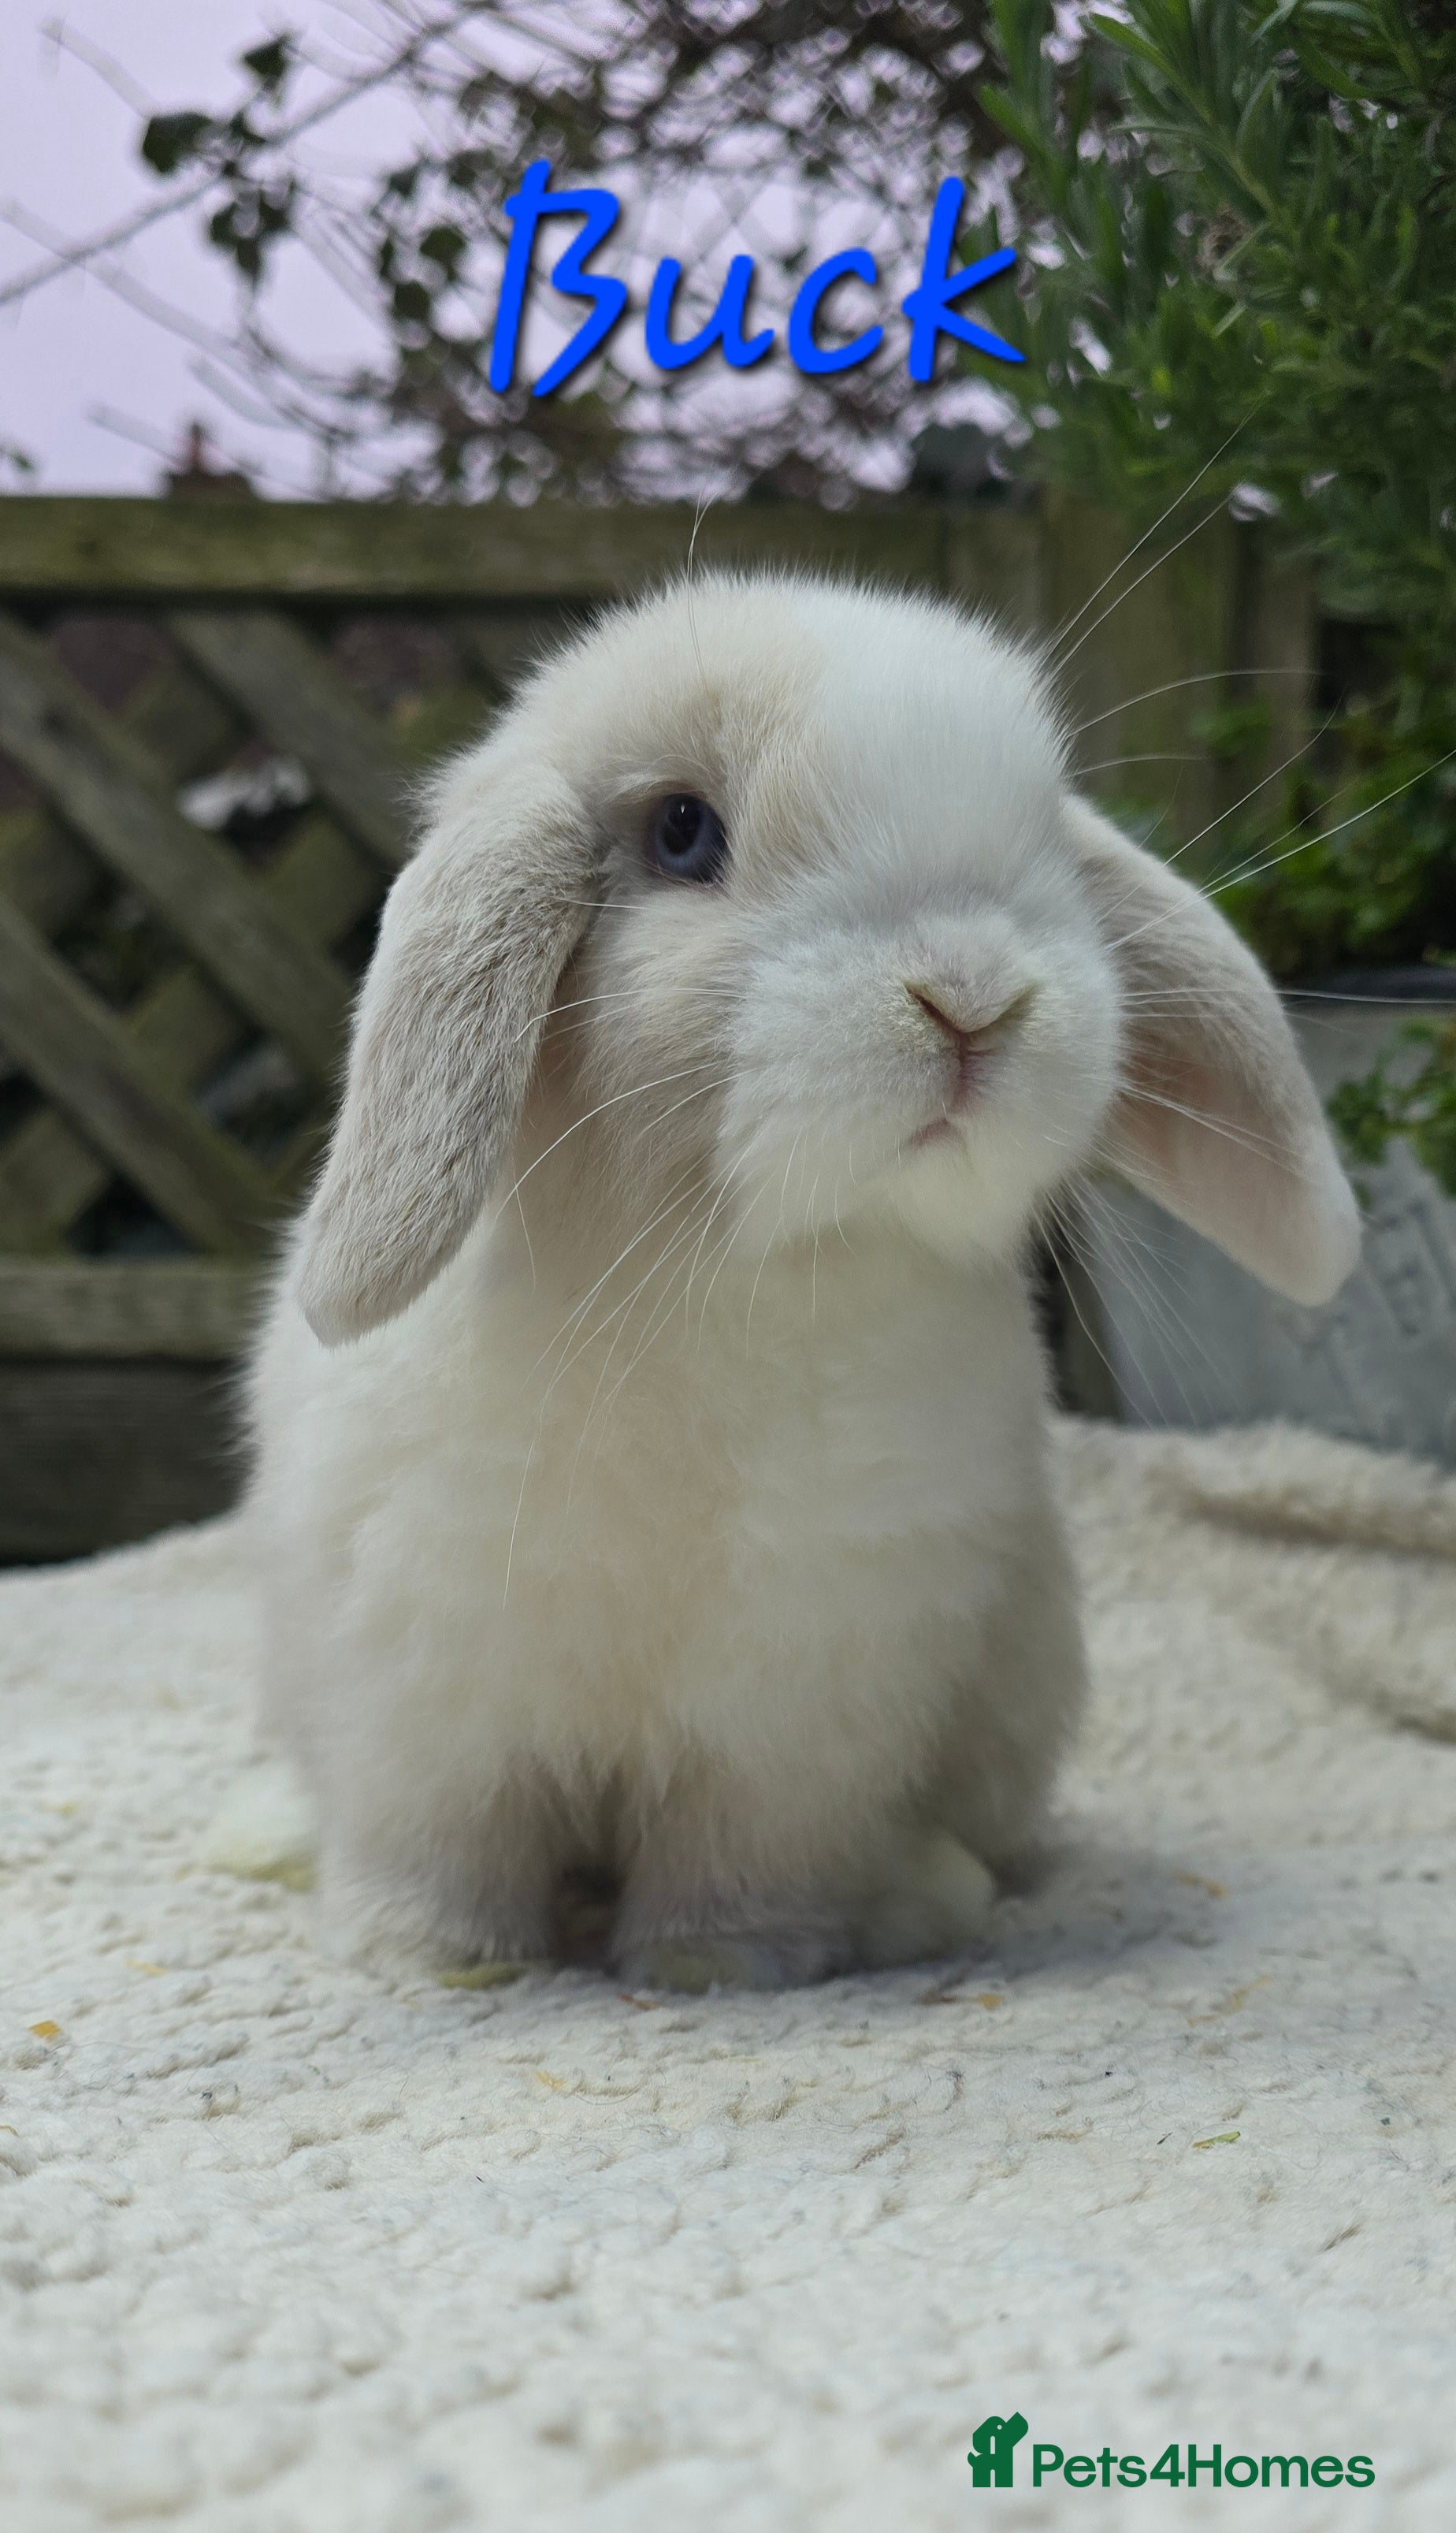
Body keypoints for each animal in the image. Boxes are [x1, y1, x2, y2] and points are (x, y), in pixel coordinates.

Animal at [245, 569, 1359, 1991]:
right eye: (682, 832)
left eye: (1044, 845)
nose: (972, 996)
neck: (733, 1271)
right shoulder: (421, 1674)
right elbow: (440, 1832)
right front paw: (432, 1957)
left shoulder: (806, 1691)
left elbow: (746, 1839)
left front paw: (720, 1963)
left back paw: (916, 1897)